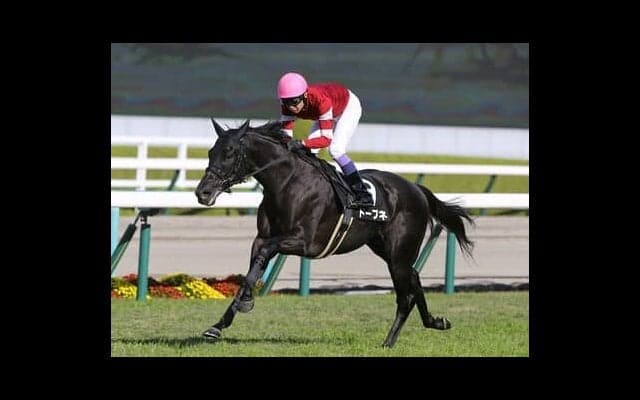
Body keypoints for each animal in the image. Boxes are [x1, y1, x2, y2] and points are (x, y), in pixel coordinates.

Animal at [195, 119, 474, 348]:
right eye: (211, 152)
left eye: (230, 152)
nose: (203, 192)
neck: (287, 184)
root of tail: (416, 189)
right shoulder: (262, 238)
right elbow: (252, 270)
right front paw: (219, 325)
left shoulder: (305, 242)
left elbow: (264, 255)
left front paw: (244, 304)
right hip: (386, 249)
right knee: (414, 278)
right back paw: (435, 322)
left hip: (399, 254)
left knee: (405, 295)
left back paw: (388, 341)